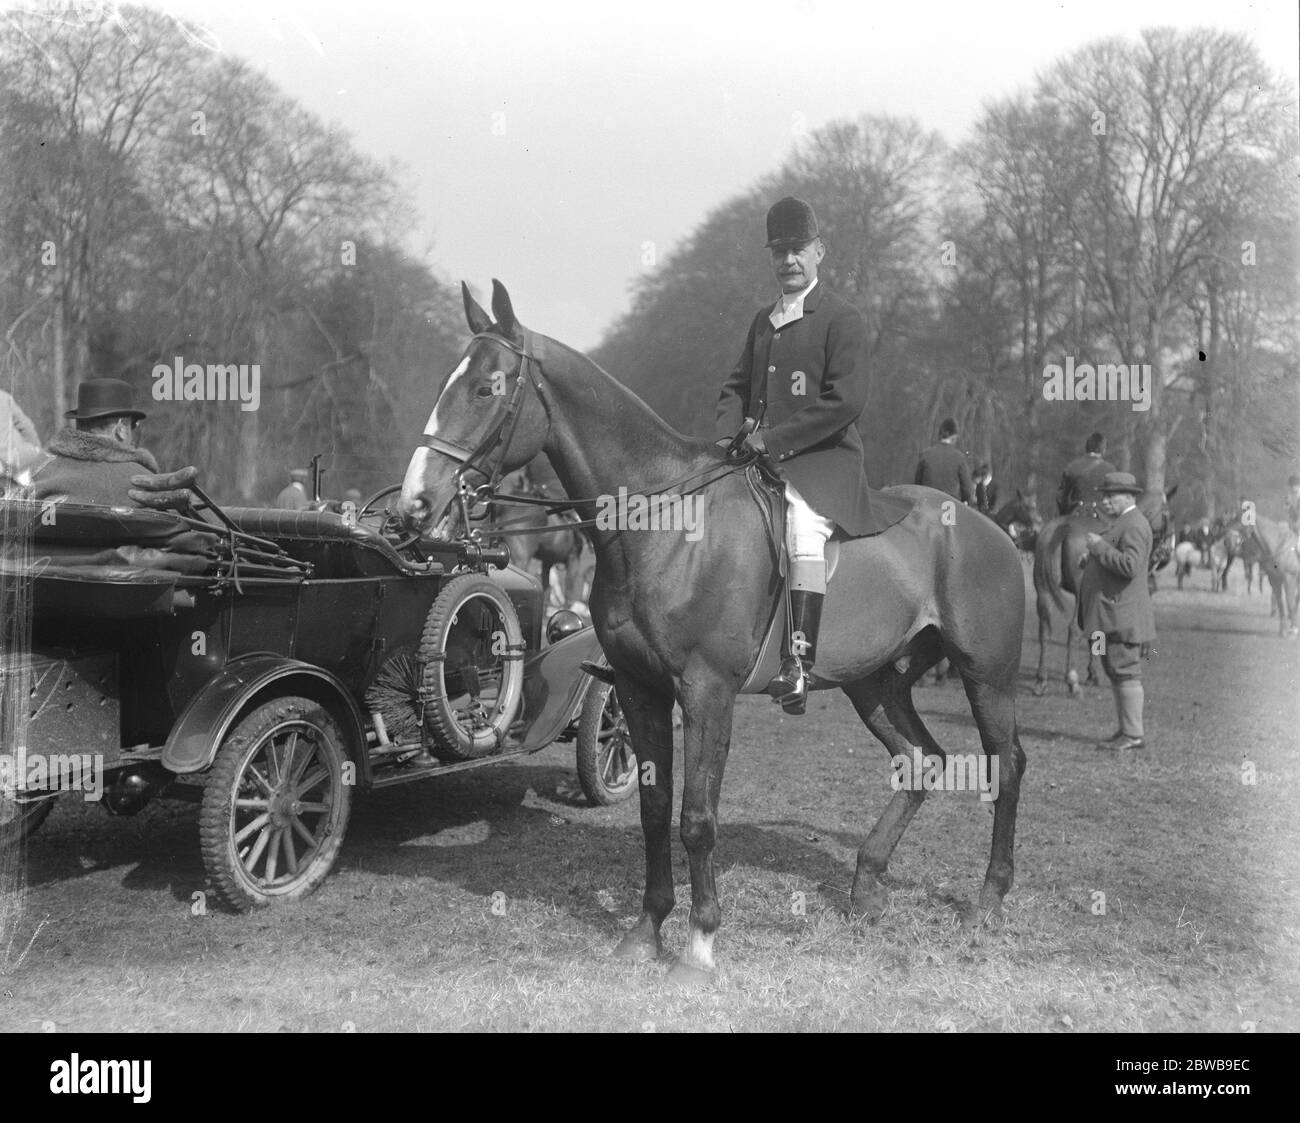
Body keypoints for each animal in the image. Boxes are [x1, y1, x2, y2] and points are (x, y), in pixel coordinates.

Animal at [395, 280, 1024, 982]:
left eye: (487, 388)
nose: (414, 505)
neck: (662, 522)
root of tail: (983, 525)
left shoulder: (706, 692)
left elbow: (697, 816)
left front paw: (699, 945)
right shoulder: (639, 688)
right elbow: (653, 808)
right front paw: (646, 930)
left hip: (986, 676)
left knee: (1006, 764)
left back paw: (989, 901)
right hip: (874, 682)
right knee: (920, 761)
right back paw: (866, 888)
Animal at [1029, 488, 1175, 691]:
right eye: (1167, 511)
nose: (1166, 551)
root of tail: (1064, 526)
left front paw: (1092, 673)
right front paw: (1093, 673)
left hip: (1043, 590)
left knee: (1044, 629)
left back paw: (1041, 679)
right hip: (1079, 593)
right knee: (1073, 629)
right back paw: (1071, 680)